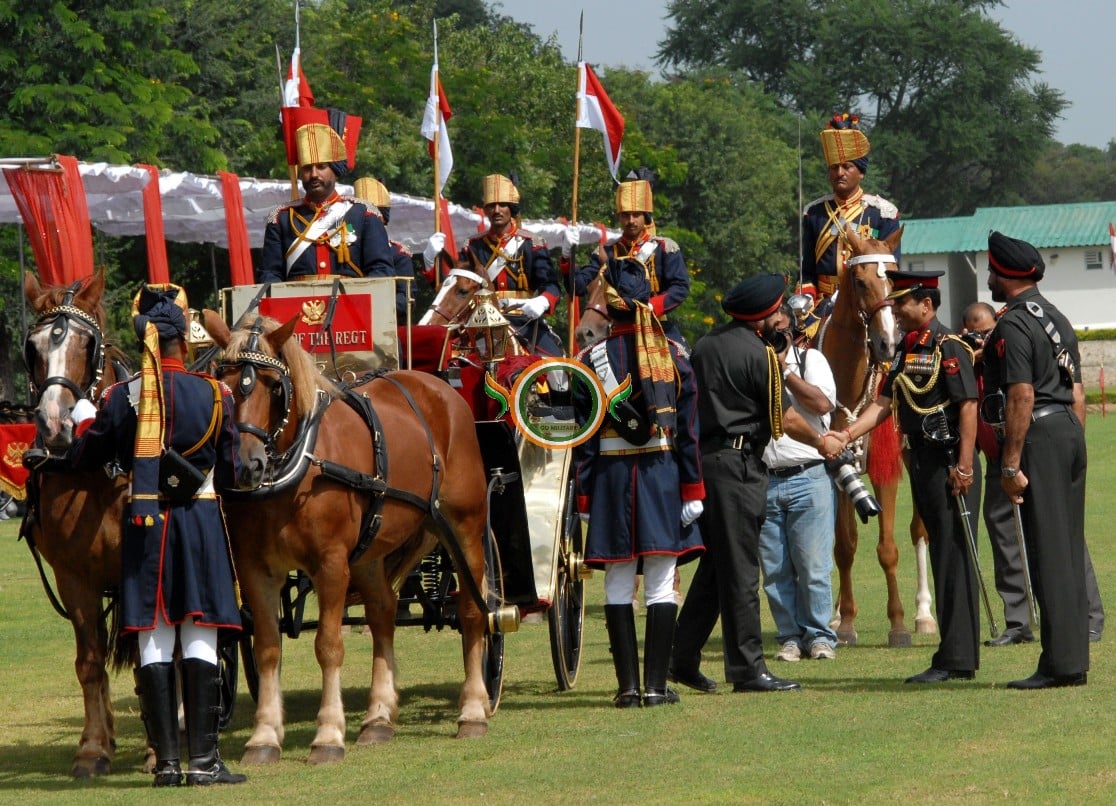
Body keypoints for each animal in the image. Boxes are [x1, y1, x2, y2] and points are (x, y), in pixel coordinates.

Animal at [201, 305, 497, 759]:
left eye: (274, 387)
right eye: (224, 383)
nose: (245, 465)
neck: (298, 468)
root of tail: (438, 388)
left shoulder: (331, 564)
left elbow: (328, 645)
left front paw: (328, 734)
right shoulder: (254, 568)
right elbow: (267, 648)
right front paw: (264, 736)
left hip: (464, 527)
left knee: (471, 611)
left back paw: (473, 710)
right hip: (372, 549)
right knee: (383, 612)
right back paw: (378, 717)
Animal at [816, 225, 937, 647]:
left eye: (894, 280)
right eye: (860, 280)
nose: (887, 343)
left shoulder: (886, 467)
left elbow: (887, 548)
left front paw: (898, 623)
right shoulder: (837, 466)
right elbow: (844, 545)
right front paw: (846, 623)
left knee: (920, 529)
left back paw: (923, 614)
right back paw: (836, 615)